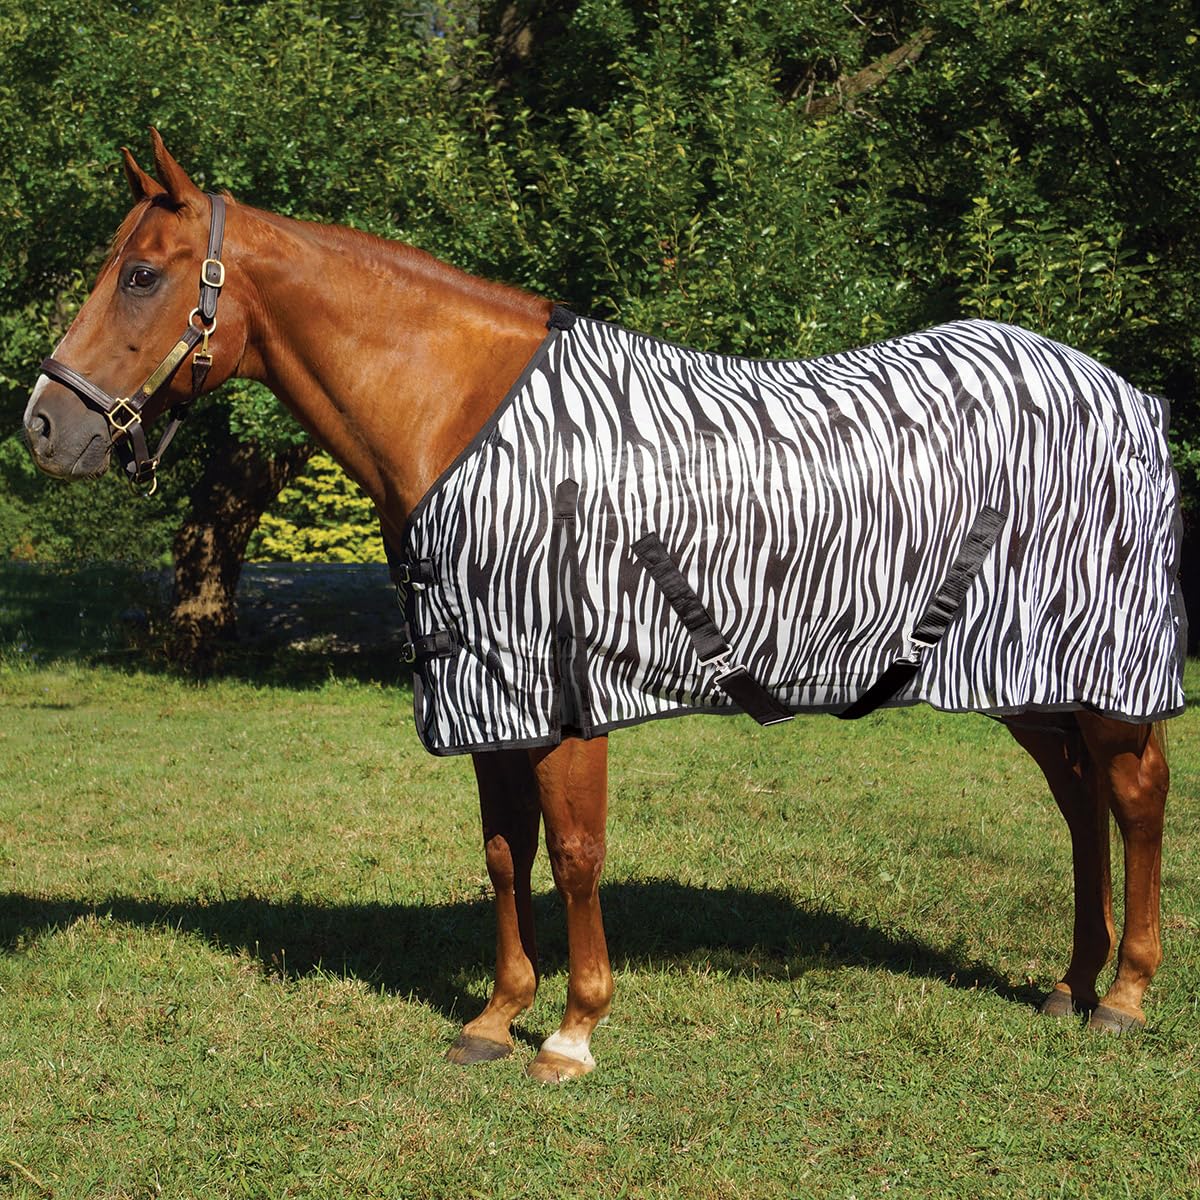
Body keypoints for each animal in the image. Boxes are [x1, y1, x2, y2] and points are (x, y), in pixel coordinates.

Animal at [24, 133, 1180, 1082]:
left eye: (141, 275)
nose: (42, 426)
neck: (463, 417)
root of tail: (1128, 395)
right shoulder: (488, 692)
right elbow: (504, 854)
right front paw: (496, 1019)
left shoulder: (567, 688)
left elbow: (576, 854)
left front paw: (574, 1033)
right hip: (1023, 678)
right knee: (1079, 805)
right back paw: (1070, 985)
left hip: (1100, 669)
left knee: (1134, 797)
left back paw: (1125, 996)